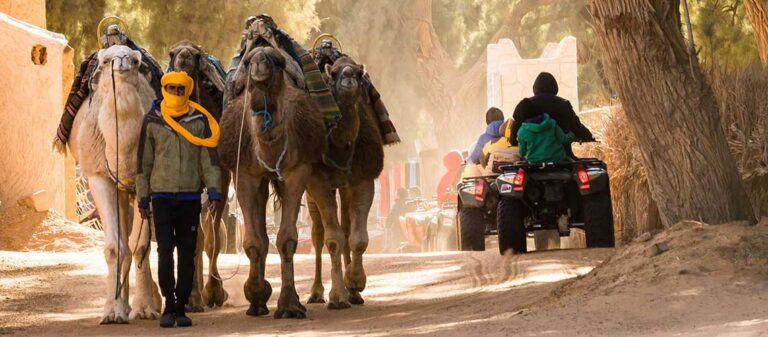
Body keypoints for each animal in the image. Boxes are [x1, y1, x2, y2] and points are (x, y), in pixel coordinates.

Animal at [65, 45, 162, 322]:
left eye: (136, 60)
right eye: (106, 60)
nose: (121, 64)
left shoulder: (146, 182)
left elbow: (141, 246)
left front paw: (145, 308)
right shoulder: (99, 177)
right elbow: (114, 248)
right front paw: (112, 310)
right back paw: (124, 304)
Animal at [219, 46, 352, 316]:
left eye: (278, 61)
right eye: (248, 62)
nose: (259, 62)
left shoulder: (296, 171)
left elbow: (287, 239)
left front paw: (289, 304)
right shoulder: (244, 174)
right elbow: (253, 241)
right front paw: (256, 296)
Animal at [306, 57, 388, 304]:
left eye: (360, 75)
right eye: (332, 75)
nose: (349, 76)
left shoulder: (364, 178)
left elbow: (357, 238)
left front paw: (355, 282)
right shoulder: (318, 182)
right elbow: (332, 240)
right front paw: (337, 296)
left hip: (344, 187)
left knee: (345, 227)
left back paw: (353, 294)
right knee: (317, 234)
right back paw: (316, 292)